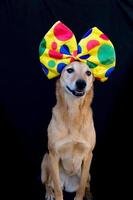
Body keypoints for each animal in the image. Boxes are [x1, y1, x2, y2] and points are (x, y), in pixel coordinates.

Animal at [41, 61, 95, 200]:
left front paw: (81, 196)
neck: (73, 111)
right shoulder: (53, 154)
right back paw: (49, 193)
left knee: (87, 184)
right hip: (45, 161)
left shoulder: (88, 155)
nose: (81, 83)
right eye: (70, 70)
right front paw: (55, 195)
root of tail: (68, 185)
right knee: (48, 183)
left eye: (88, 73)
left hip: (89, 175)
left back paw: (89, 194)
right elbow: (58, 189)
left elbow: (81, 187)